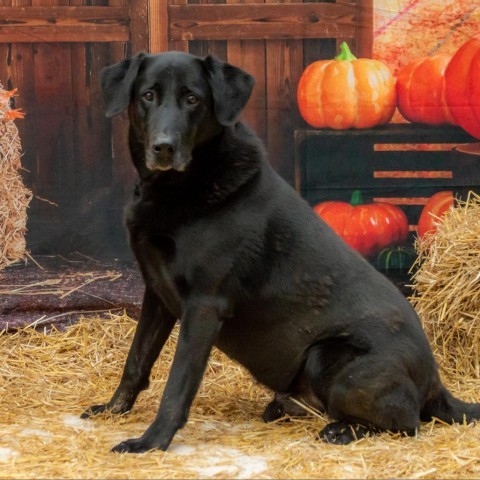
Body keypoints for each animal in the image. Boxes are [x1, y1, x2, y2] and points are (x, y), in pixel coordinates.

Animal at [82, 52, 480, 454]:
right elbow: (136, 360)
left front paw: (151, 442)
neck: (176, 186)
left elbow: (178, 384)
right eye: (148, 95)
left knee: (407, 421)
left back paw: (343, 430)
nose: (163, 147)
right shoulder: (157, 293)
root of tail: (436, 383)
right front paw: (113, 409)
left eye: (193, 99)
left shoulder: (204, 305)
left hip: (329, 357)